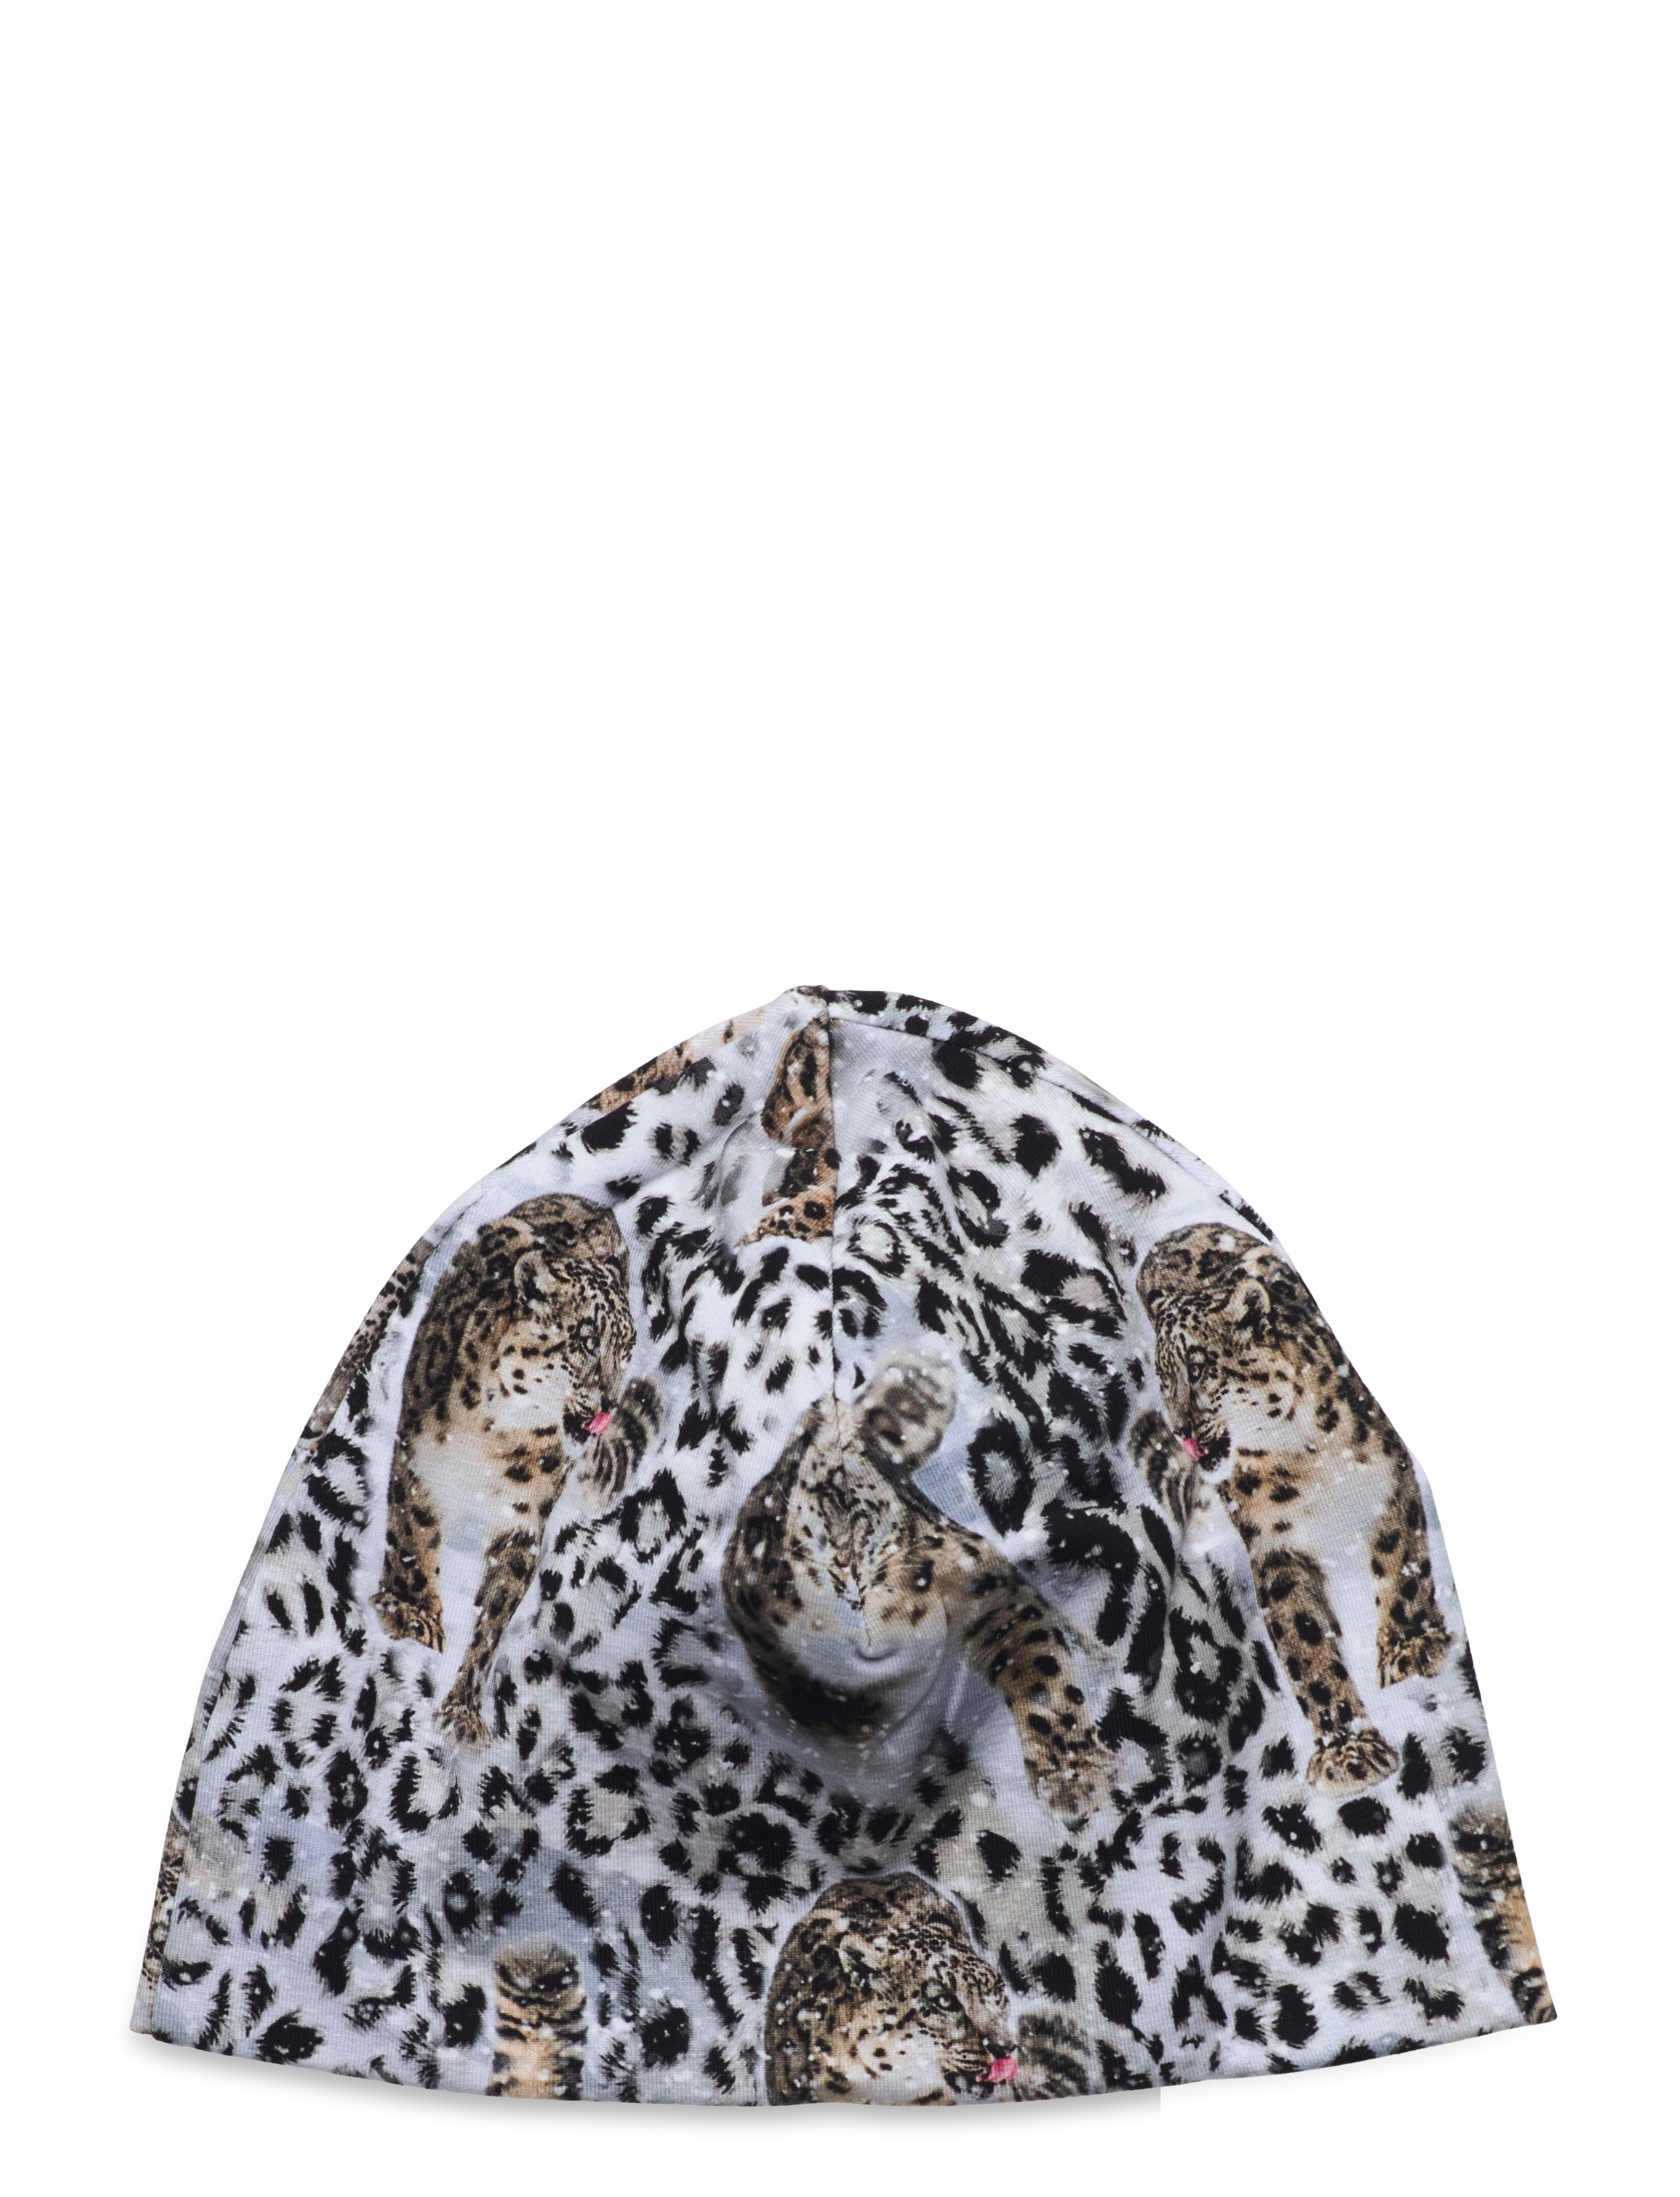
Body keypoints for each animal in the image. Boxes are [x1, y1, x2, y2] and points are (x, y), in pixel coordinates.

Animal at [371, 1192, 661, 1748]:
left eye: (627, 1350)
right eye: (587, 1340)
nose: (609, 1405)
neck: (497, 1431)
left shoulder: (523, 1518)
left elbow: (495, 1617)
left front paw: (463, 1713)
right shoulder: (420, 1463)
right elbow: (413, 1537)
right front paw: (413, 1617)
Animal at [721, 1350, 1106, 1824]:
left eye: (862, 1512)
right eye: (829, 1501)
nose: (848, 1569)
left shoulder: (986, 1591)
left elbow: (1041, 1673)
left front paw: (1073, 1777)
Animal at [1137, 1222, 1453, 1796]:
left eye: (1199, 1366)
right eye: (1163, 1379)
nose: (1183, 1433)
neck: (1304, 1455)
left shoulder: (1385, 1482)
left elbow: (1402, 1568)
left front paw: (1409, 1652)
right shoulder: (1275, 1545)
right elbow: (1305, 1645)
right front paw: (1348, 1751)